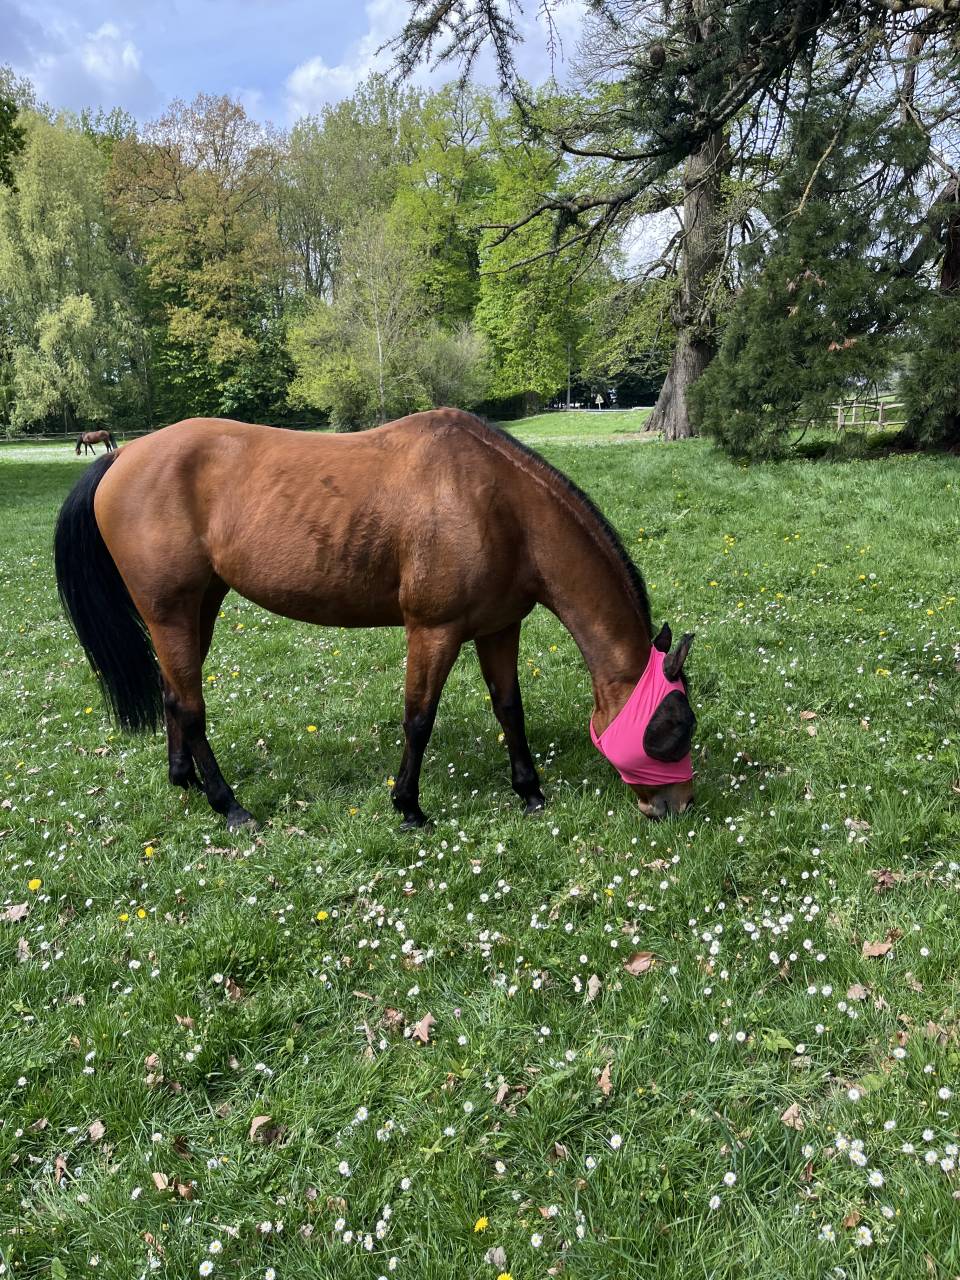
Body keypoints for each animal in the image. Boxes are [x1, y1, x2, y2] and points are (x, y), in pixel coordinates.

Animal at [54, 411, 697, 830]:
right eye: (673, 728)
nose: (678, 805)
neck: (497, 503)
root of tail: (122, 455)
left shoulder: (498, 627)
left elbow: (509, 709)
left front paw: (530, 790)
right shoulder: (434, 631)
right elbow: (419, 719)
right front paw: (409, 807)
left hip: (196, 610)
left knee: (172, 693)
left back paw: (182, 778)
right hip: (172, 612)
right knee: (190, 706)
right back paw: (229, 805)